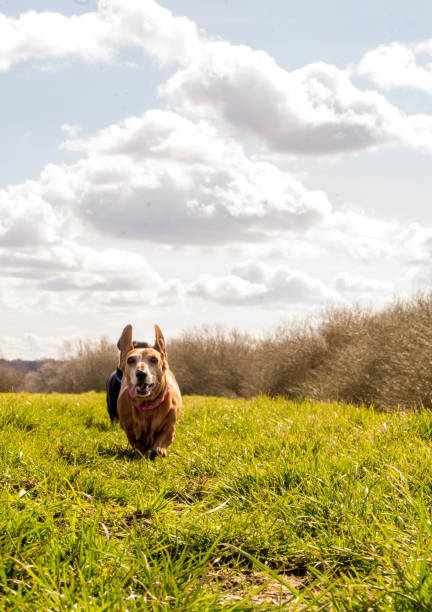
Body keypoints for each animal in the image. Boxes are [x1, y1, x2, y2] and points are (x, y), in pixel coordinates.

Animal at [115, 322, 181, 456]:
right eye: (130, 360)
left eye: (154, 359)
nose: (141, 373)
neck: (147, 404)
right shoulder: (129, 429)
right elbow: (135, 441)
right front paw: (143, 451)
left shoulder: (170, 426)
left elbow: (165, 436)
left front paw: (159, 449)